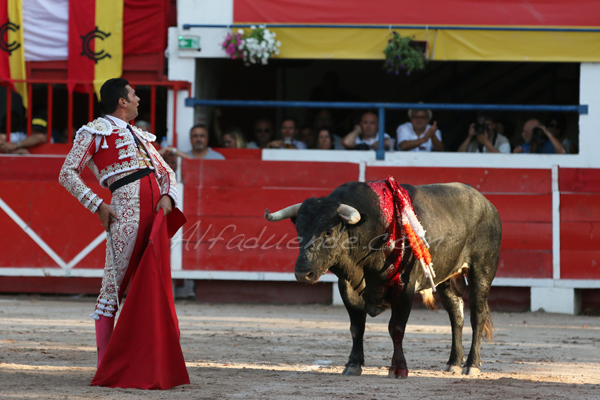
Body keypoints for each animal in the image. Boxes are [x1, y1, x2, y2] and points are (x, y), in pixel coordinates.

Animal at [266, 181, 502, 378]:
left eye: (329, 231)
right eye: (299, 229)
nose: (302, 273)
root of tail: (487, 204)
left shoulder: (404, 287)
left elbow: (396, 328)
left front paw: (398, 369)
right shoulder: (347, 287)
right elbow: (356, 327)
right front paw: (353, 364)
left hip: (482, 270)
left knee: (477, 316)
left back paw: (471, 365)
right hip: (446, 279)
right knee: (456, 315)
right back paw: (453, 363)